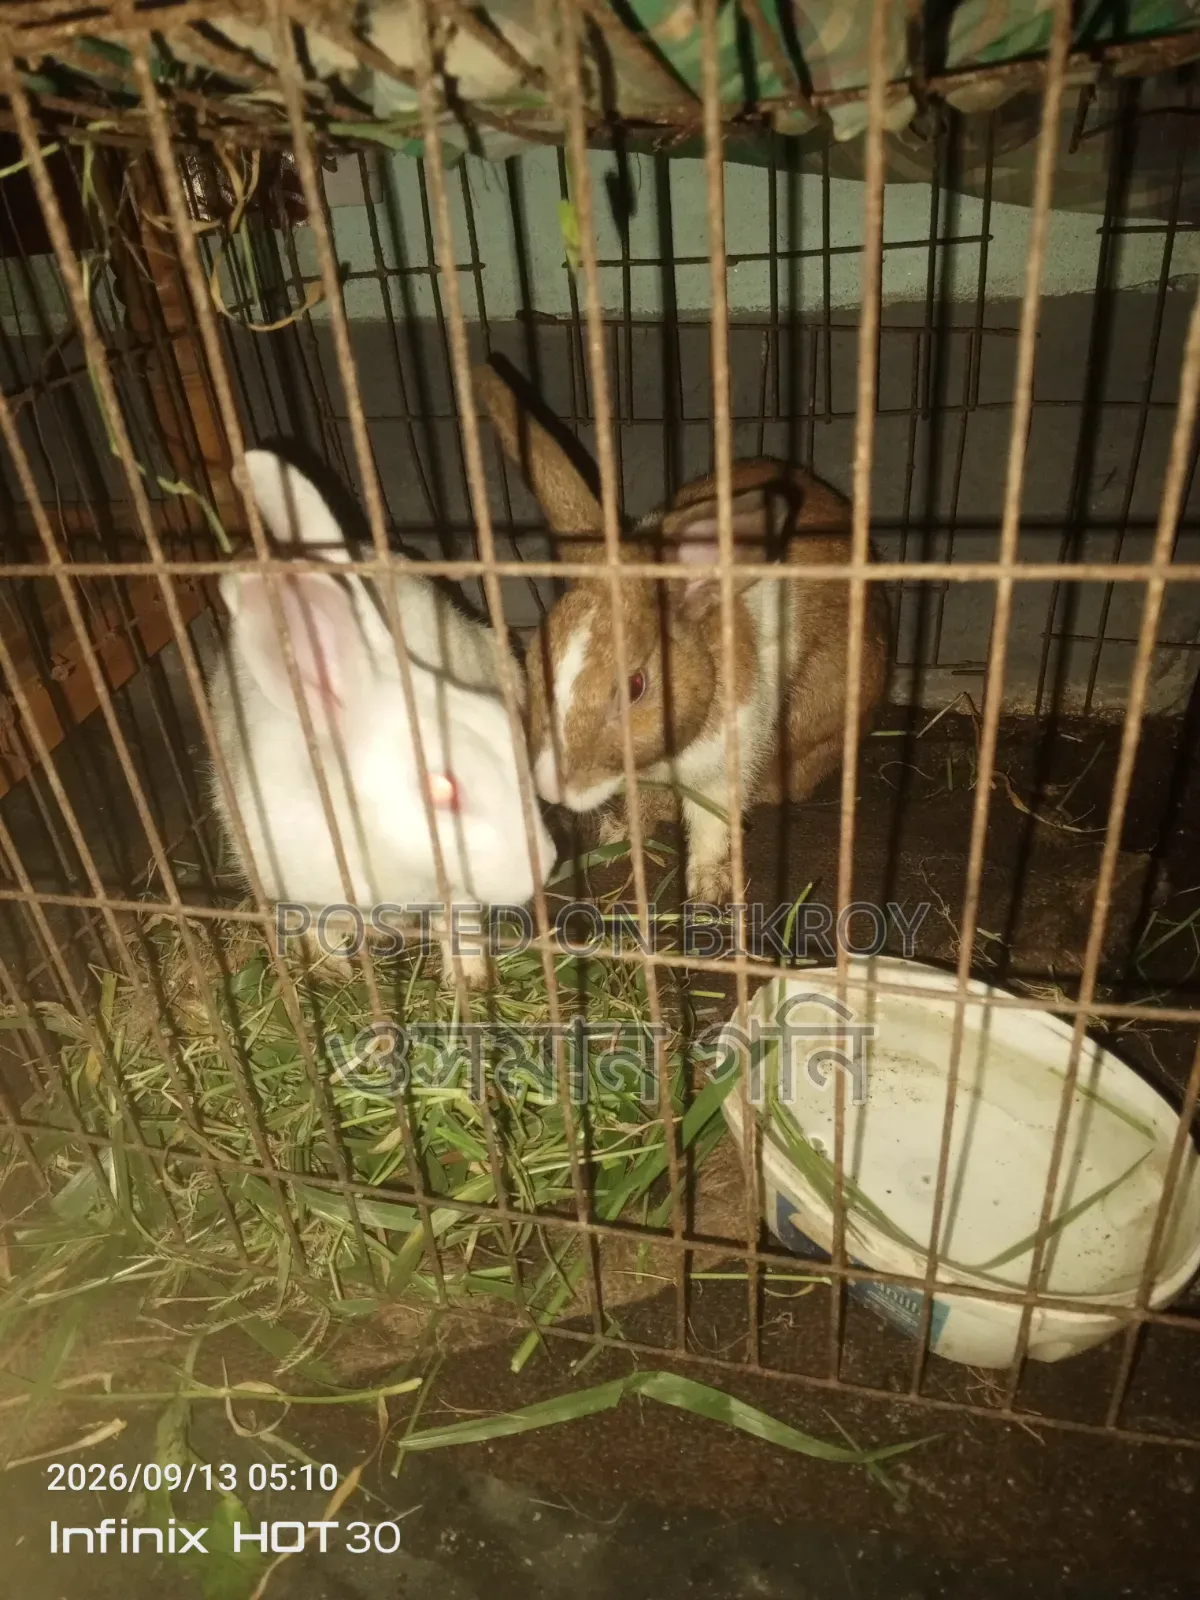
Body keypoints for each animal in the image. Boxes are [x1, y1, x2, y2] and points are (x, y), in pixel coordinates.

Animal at [206, 447, 556, 987]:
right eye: (441, 788)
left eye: (509, 736)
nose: (546, 865)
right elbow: (319, 925)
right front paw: (333, 970)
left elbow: (460, 919)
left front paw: (467, 978)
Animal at [473, 361, 889, 906]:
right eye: (536, 663)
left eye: (635, 686)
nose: (552, 789)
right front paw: (621, 834)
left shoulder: (724, 762)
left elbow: (711, 823)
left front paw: (708, 888)